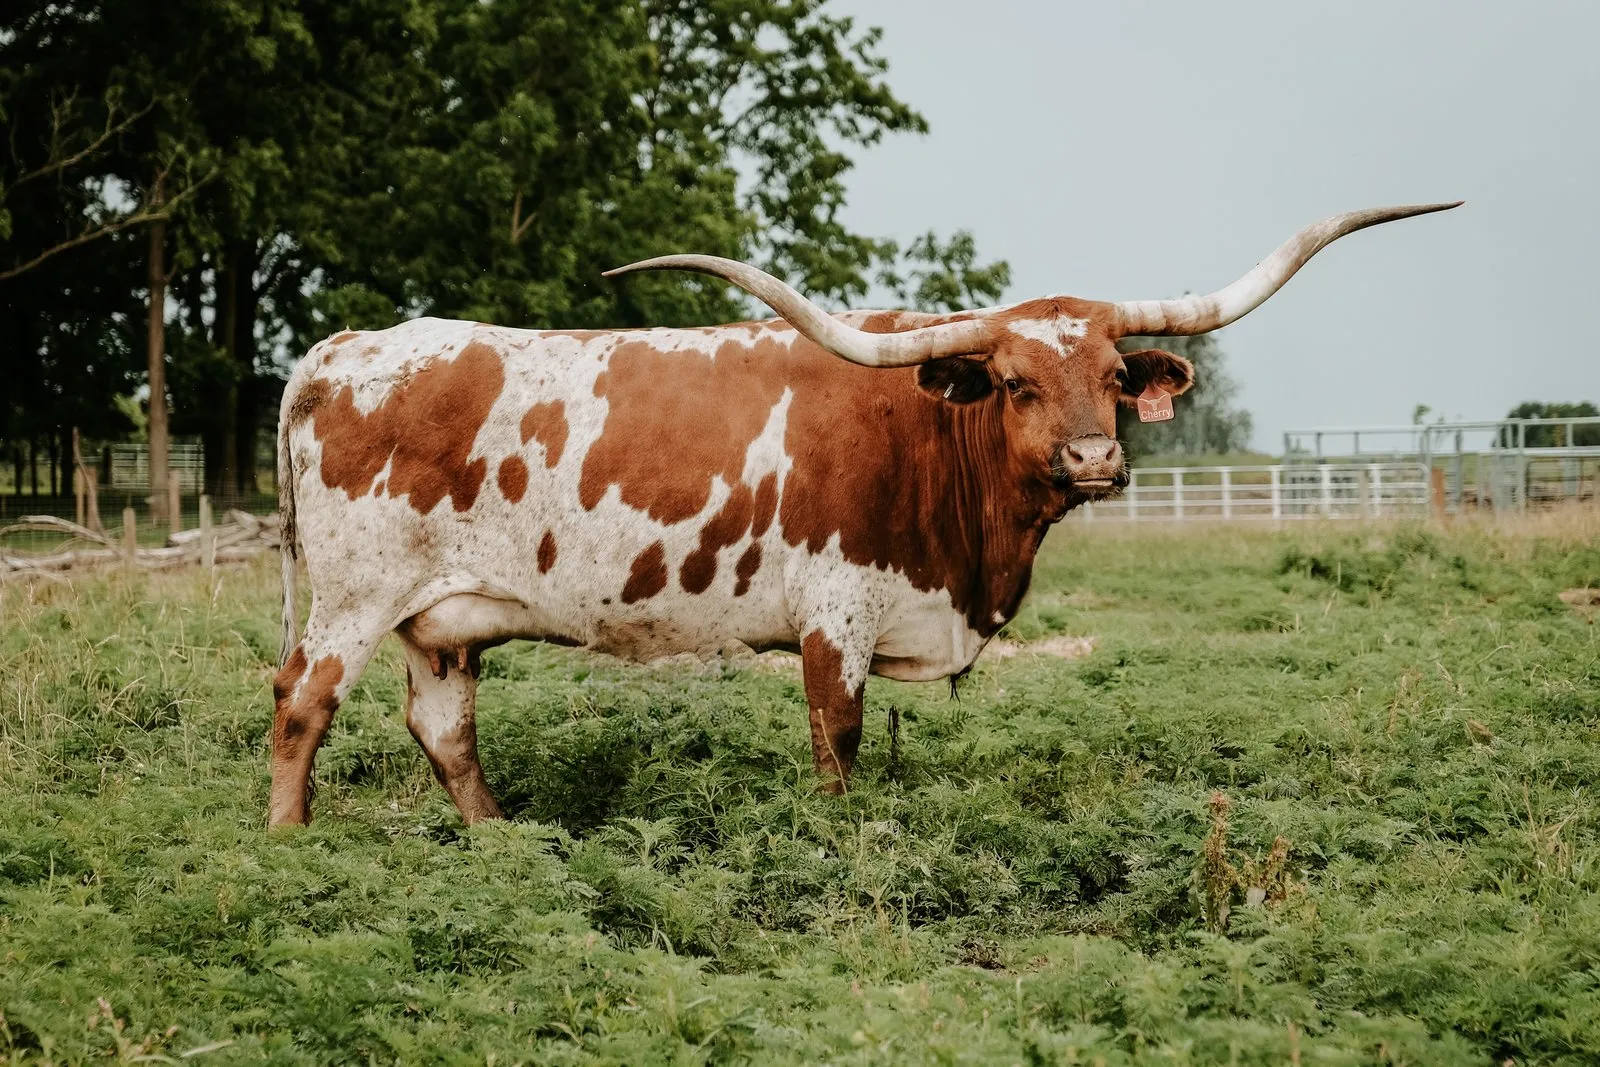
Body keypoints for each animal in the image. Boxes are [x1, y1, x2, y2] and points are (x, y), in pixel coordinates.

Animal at [269, 202, 1459, 826]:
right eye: (1014, 382)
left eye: (1118, 376)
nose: (1094, 460)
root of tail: (344, 349)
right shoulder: (834, 616)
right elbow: (836, 742)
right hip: (353, 597)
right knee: (300, 706)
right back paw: (291, 843)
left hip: (438, 619)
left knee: (443, 727)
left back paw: (502, 844)